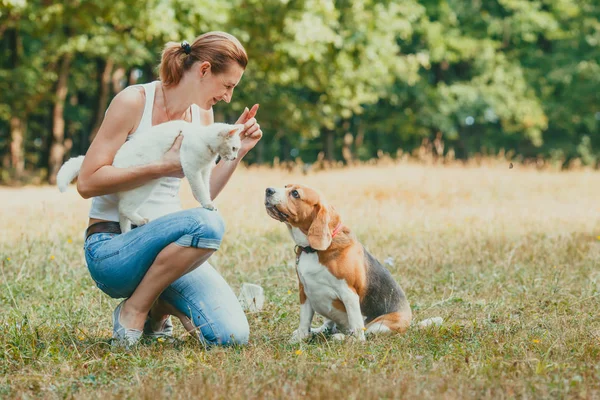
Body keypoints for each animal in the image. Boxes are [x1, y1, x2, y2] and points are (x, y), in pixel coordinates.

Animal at [56, 119, 244, 231]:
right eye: (234, 148)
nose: (235, 158)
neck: (204, 140)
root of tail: (114, 163)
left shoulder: (204, 172)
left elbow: (206, 188)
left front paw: (208, 202)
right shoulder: (192, 169)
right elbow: (200, 190)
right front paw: (207, 204)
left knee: (122, 213)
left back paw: (127, 232)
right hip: (145, 185)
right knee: (124, 208)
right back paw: (140, 221)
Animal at [264, 183, 410, 342]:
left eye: (295, 193)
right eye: (286, 186)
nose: (268, 190)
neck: (312, 250)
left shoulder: (349, 293)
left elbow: (357, 328)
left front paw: (354, 342)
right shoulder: (304, 290)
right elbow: (304, 320)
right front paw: (300, 338)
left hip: (380, 326)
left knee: (363, 332)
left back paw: (341, 337)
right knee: (328, 326)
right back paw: (316, 331)